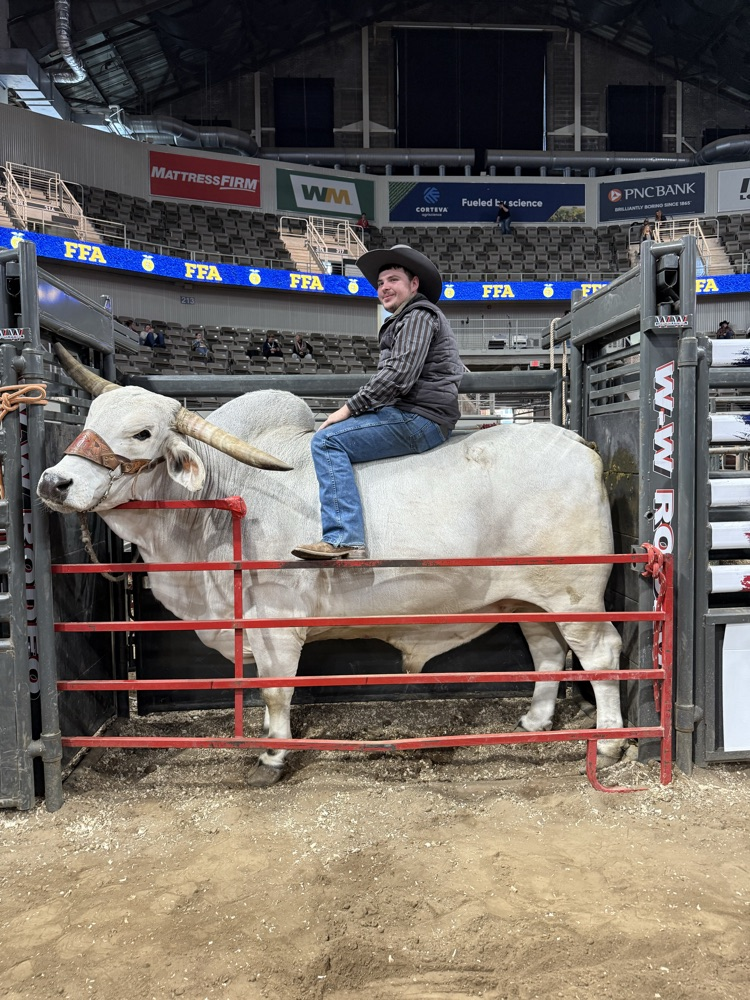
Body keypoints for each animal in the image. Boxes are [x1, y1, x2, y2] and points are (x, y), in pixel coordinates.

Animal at [38, 344, 625, 786]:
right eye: (89, 419)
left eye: (143, 433)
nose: (54, 482)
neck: (223, 497)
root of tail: (577, 442)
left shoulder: (278, 626)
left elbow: (276, 691)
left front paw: (272, 757)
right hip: (528, 598)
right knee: (547, 652)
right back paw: (535, 720)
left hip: (576, 598)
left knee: (601, 655)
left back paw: (611, 743)